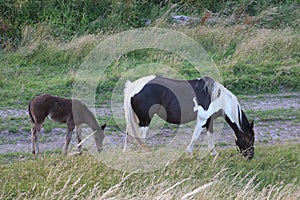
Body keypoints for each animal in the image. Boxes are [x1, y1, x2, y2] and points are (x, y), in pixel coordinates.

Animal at [124, 76, 255, 160]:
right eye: (250, 139)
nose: (250, 157)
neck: (216, 98)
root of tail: (134, 87)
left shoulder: (209, 121)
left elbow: (210, 136)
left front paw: (213, 153)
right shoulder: (202, 120)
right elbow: (195, 137)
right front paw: (190, 154)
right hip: (145, 120)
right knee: (140, 137)